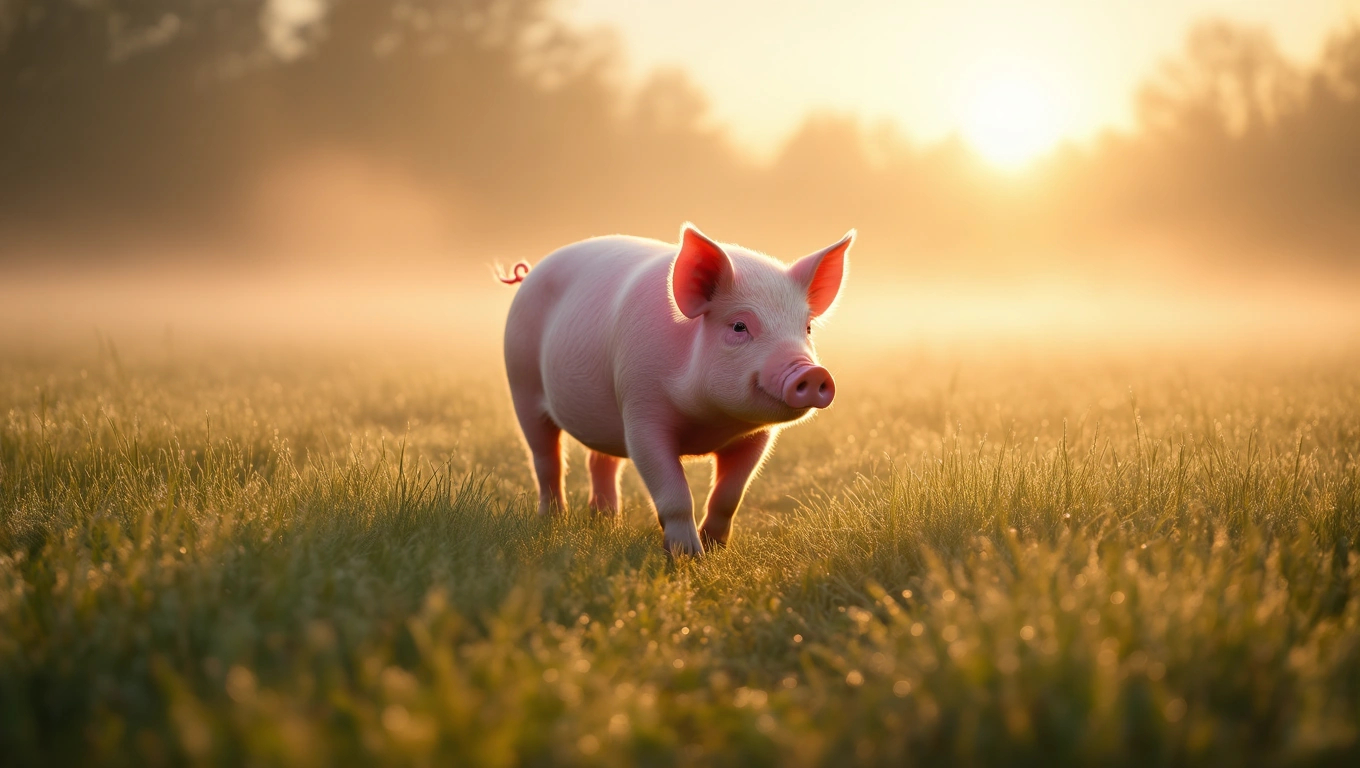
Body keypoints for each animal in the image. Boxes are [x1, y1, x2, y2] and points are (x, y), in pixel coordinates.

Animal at [499, 224, 852, 556]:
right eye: (739, 326)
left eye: (807, 328)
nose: (813, 371)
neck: (711, 422)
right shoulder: (641, 414)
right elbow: (674, 494)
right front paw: (687, 557)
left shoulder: (757, 436)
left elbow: (730, 495)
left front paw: (714, 547)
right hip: (521, 383)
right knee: (546, 459)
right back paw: (553, 519)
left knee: (600, 462)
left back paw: (606, 521)